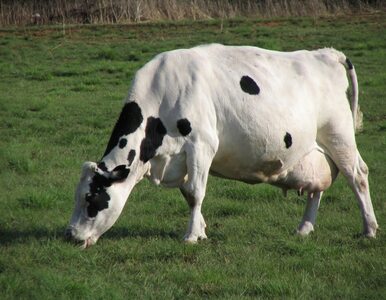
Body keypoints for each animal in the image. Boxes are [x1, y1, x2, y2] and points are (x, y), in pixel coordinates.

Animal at [65, 42, 376, 248]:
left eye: (91, 198)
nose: (70, 235)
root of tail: (325, 53)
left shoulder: (202, 144)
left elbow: (196, 192)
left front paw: (191, 236)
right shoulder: (182, 158)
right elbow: (188, 194)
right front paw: (201, 230)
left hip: (339, 135)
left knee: (357, 175)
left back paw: (369, 229)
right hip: (315, 150)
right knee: (318, 186)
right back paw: (304, 229)